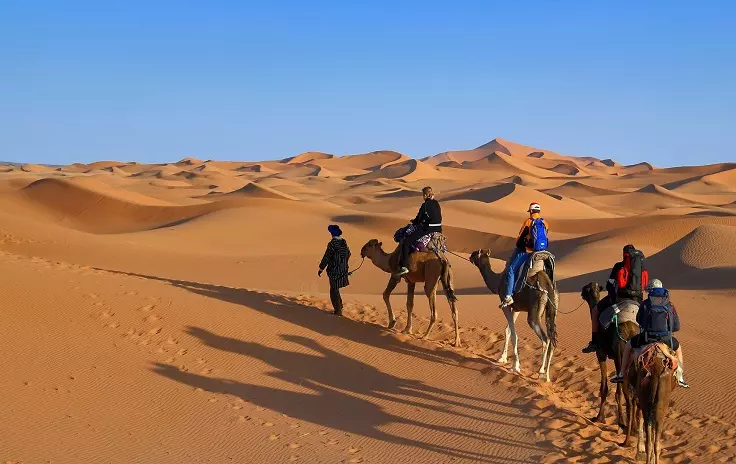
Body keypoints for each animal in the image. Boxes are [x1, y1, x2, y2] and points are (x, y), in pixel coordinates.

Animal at [468, 250, 556, 380]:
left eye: (475, 253)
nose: (470, 257)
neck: (498, 282)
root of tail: (547, 285)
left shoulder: (506, 305)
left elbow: (514, 334)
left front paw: (515, 366)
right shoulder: (516, 308)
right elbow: (508, 330)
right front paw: (502, 358)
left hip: (534, 313)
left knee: (545, 338)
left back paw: (541, 372)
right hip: (552, 308)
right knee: (552, 337)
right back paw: (547, 376)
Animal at [580, 280, 640, 430]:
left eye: (586, 289)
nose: (581, 293)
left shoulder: (601, 353)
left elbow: (604, 388)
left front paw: (599, 417)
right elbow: (617, 391)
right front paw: (619, 420)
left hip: (620, 354)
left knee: (628, 393)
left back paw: (629, 428)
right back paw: (635, 427)